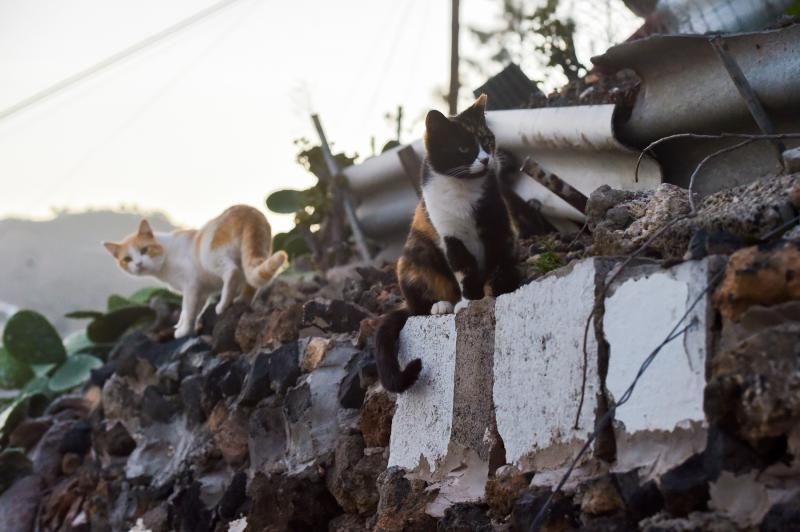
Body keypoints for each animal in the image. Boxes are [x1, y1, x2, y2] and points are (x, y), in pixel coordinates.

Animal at [101, 205, 286, 336]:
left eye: (144, 250)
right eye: (127, 259)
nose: (138, 263)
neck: (166, 255)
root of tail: (250, 211)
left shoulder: (190, 285)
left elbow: (187, 308)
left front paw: (183, 330)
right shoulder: (202, 290)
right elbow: (195, 309)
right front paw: (188, 326)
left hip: (211, 257)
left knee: (232, 272)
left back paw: (222, 305)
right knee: (251, 281)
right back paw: (242, 301)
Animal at [378, 93, 520, 392]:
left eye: (487, 140)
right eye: (464, 147)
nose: (486, 159)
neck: (462, 188)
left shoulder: (499, 226)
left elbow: (499, 261)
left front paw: (497, 287)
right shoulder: (449, 237)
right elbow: (464, 269)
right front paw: (469, 301)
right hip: (413, 255)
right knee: (416, 307)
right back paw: (441, 305)